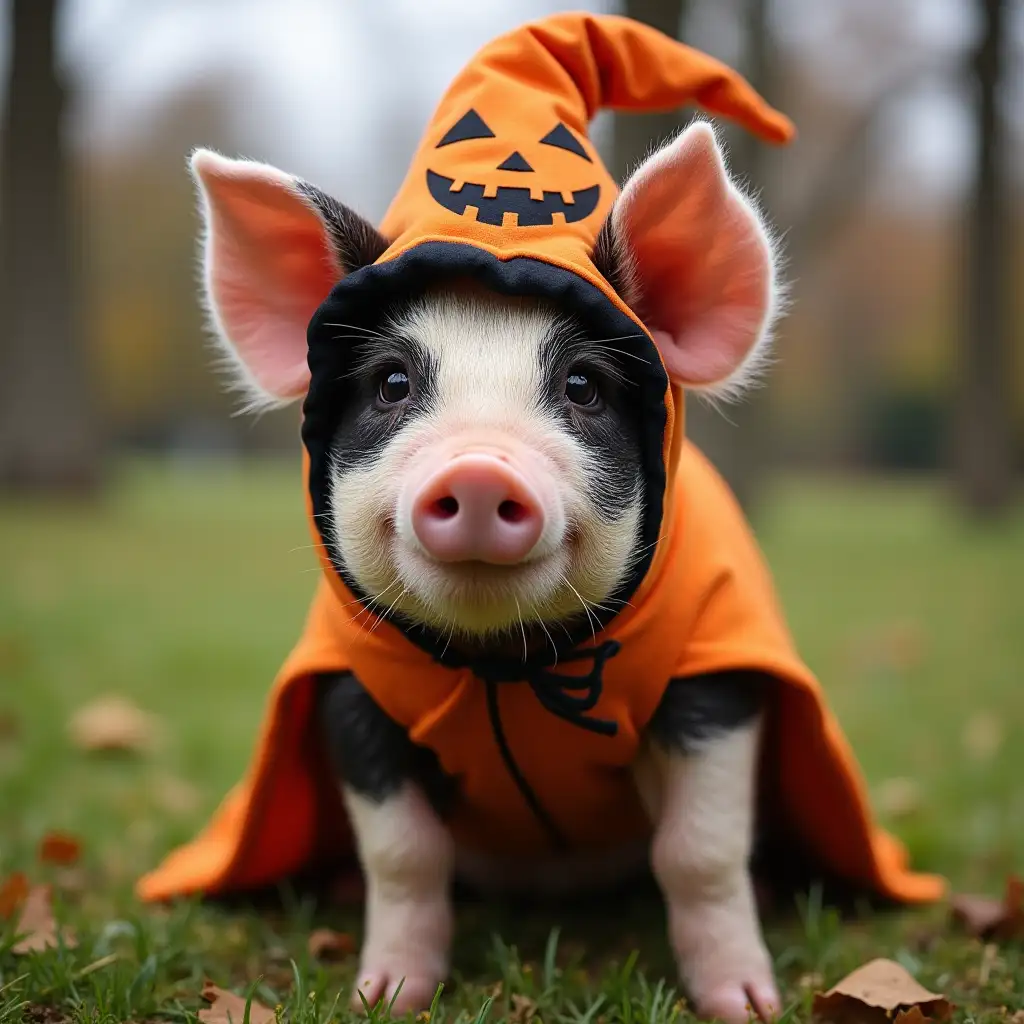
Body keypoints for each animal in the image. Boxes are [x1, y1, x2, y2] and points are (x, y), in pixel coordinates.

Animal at [190, 121, 782, 1024]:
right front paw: (384, 996)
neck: (506, 659)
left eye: (583, 385)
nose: (476, 469)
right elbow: (403, 854)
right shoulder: (348, 694)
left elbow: (701, 848)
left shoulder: (716, 670)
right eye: (393, 382)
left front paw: (747, 1005)